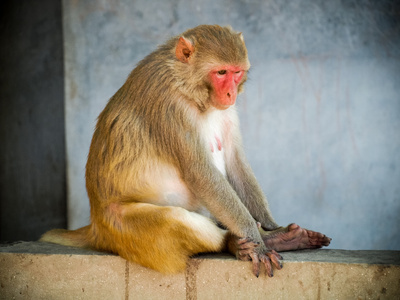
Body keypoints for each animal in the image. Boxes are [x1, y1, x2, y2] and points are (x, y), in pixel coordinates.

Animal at [41, 24, 332, 278]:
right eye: (221, 72)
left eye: (237, 72)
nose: (231, 94)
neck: (187, 85)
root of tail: (95, 226)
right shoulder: (169, 107)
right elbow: (199, 173)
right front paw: (256, 241)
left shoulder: (226, 113)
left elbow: (236, 163)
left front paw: (272, 227)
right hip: (122, 229)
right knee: (173, 219)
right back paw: (234, 243)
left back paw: (279, 237)